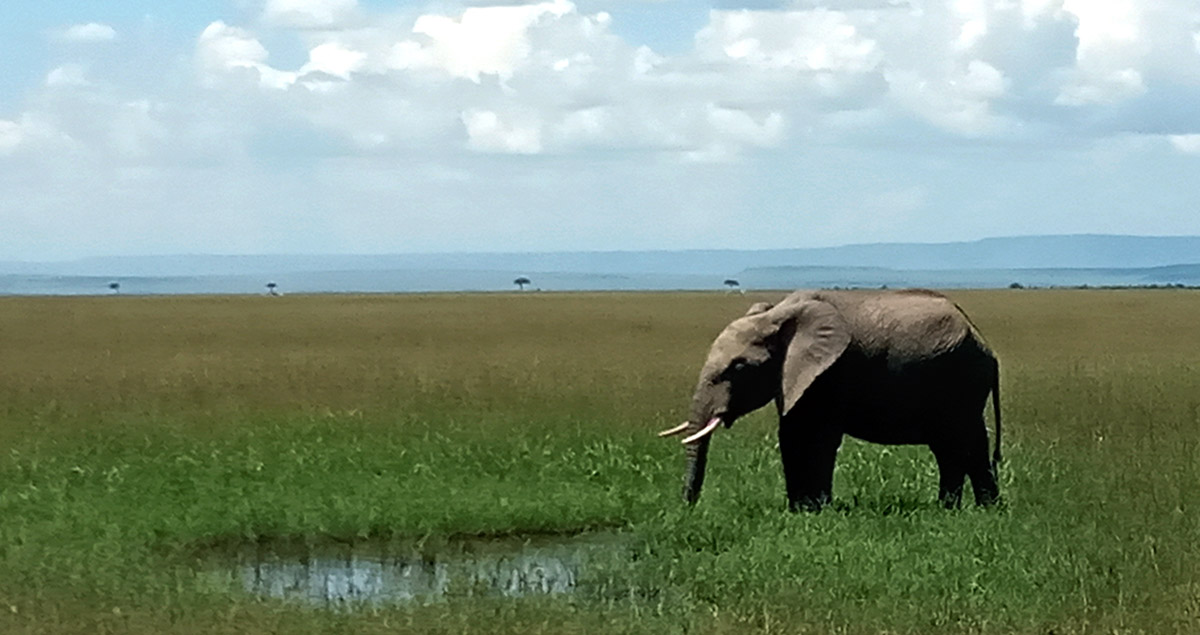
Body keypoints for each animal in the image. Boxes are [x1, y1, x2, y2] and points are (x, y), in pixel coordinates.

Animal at [662, 288, 998, 508]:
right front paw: (799, 510)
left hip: (960, 379)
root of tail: (983, 341)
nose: (688, 506)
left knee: (959, 443)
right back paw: (969, 509)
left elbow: (820, 438)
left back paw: (965, 509)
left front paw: (817, 510)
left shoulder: (831, 373)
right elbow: (790, 434)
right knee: (960, 446)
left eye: (739, 367)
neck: (777, 316)